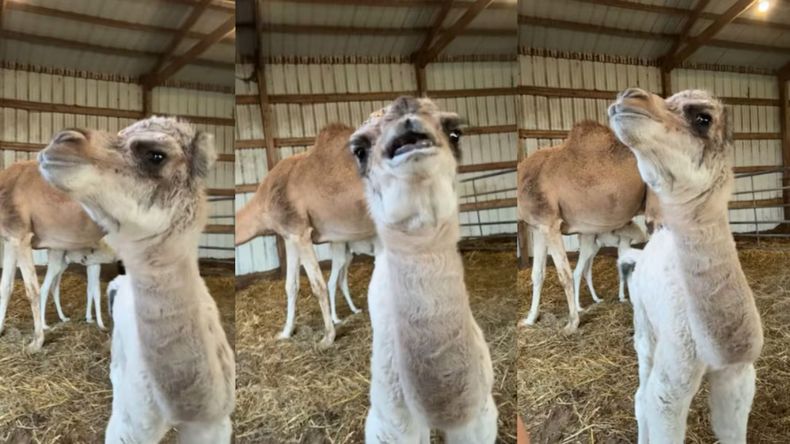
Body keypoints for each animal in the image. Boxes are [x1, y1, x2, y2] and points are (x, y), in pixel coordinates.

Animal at [236, 123, 376, 346]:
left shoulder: (300, 232)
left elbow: (317, 285)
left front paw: (328, 338)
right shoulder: (288, 235)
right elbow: (290, 286)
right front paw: (285, 333)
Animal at [517, 120, 647, 332]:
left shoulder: (551, 224)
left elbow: (564, 274)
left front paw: (572, 323)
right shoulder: (539, 227)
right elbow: (537, 274)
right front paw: (529, 320)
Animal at [611, 88, 763, 442]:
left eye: (702, 118)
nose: (629, 98)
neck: (714, 349)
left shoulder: (739, 373)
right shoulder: (670, 387)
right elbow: (655, 404)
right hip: (644, 326)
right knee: (641, 395)